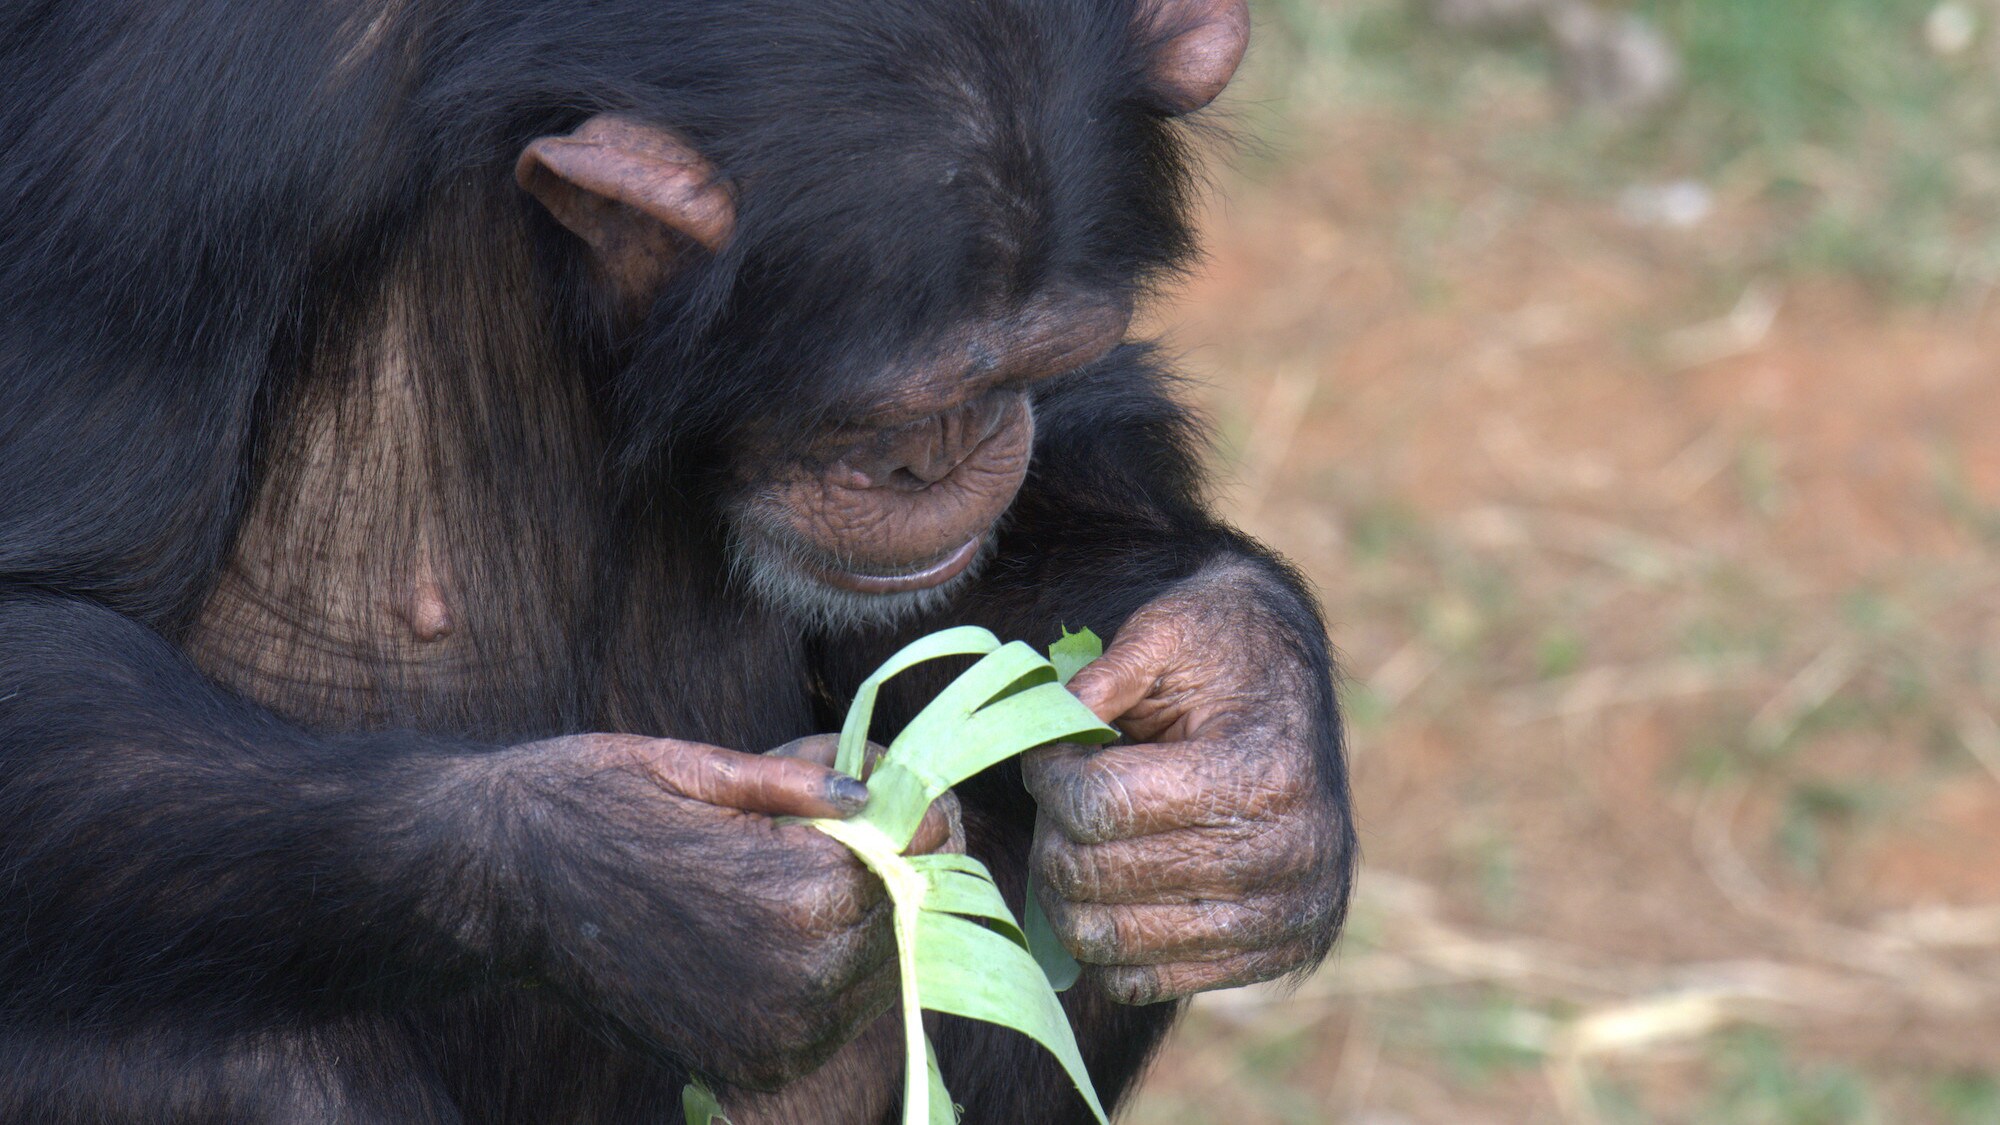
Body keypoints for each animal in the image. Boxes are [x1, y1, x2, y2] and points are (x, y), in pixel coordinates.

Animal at [0, 0, 1360, 1112]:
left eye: (1030, 367)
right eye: (891, 415)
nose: (957, 456)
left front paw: (1243, 731)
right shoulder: (170, 145)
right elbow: (42, 614)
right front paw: (662, 887)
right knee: (205, 1051)